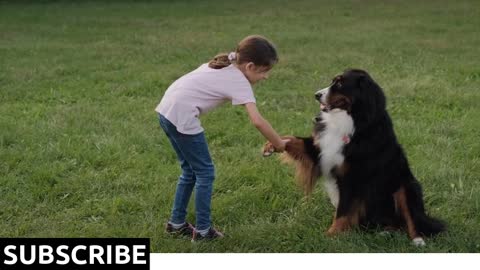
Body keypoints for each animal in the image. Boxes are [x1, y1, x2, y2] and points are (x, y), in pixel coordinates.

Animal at [264, 68, 444, 246]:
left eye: (340, 84)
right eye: (332, 81)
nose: (316, 95)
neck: (350, 120)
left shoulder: (353, 177)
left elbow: (343, 211)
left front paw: (331, 235)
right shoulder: (321, 151)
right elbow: (296, 141)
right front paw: (271, 145)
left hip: (406, 187)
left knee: (413, 219)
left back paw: (418, 240)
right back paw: (385, 233)